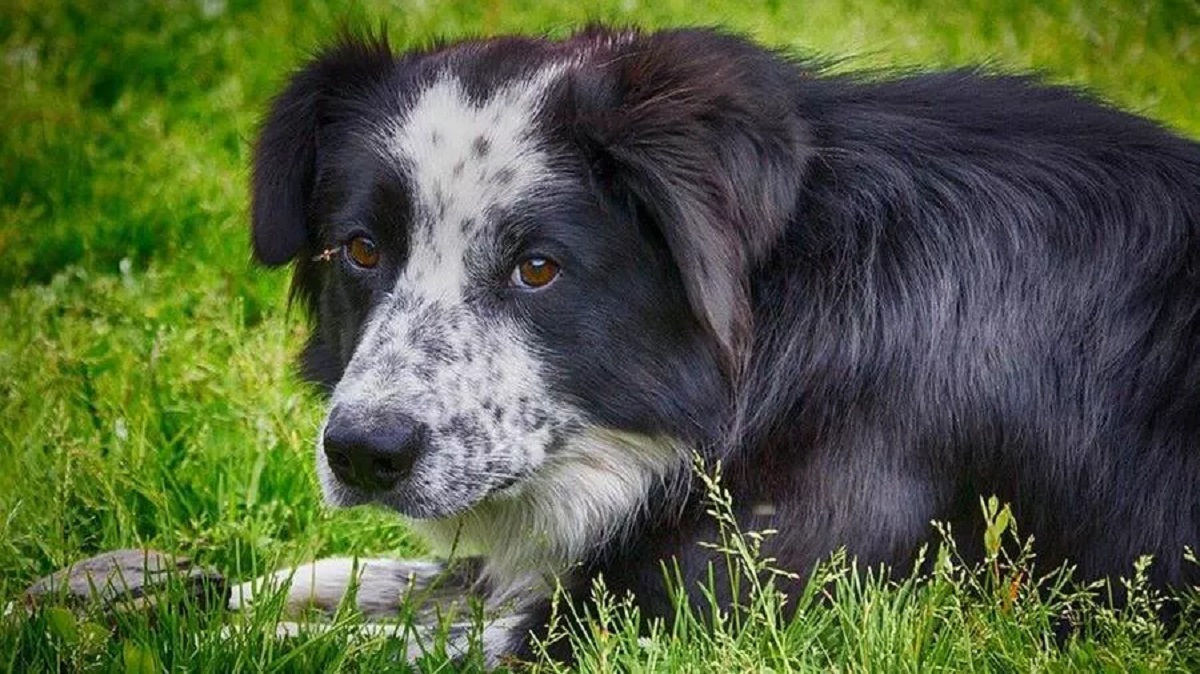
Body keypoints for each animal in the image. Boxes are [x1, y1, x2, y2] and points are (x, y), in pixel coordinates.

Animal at [241, 24, 1200, 662]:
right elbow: (371, 578)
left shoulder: (714, 606)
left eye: (538, 267)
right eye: (362, 250)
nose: (364, 454)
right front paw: (222, 590)